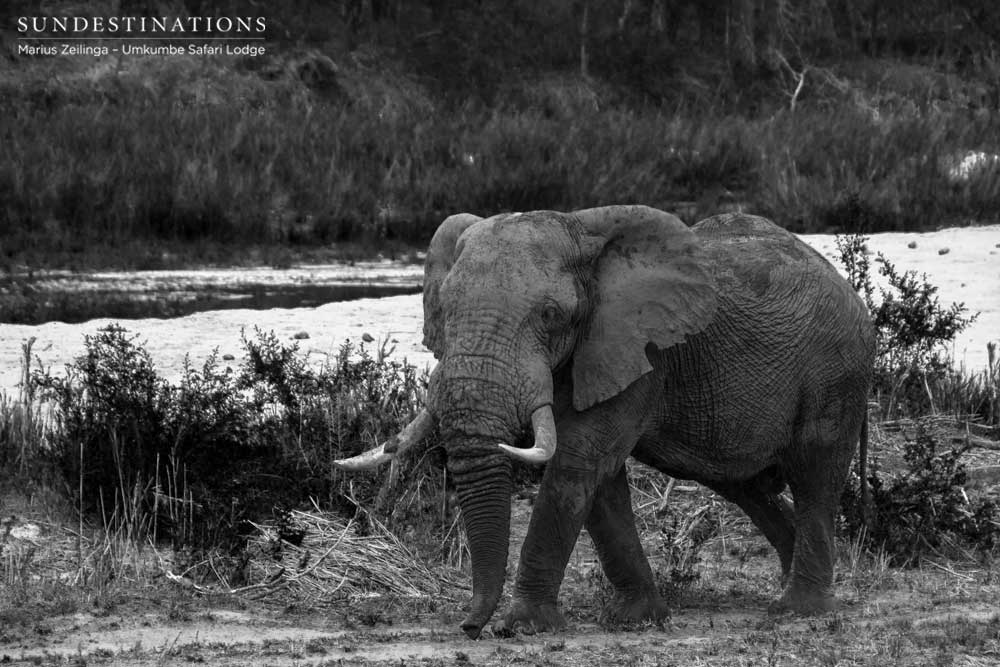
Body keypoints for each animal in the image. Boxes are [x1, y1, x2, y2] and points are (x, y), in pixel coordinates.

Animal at [332, 206, 872, 640]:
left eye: (551, 314)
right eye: (442, 309)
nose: (469, 627)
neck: (584, 238)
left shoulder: (640, 350)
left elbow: (578, 462)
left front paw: (522, 626)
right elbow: (601, 483)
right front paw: (637, 618)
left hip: (837, 374)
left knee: (814, 475)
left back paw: (798, 609)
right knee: (747, 485)